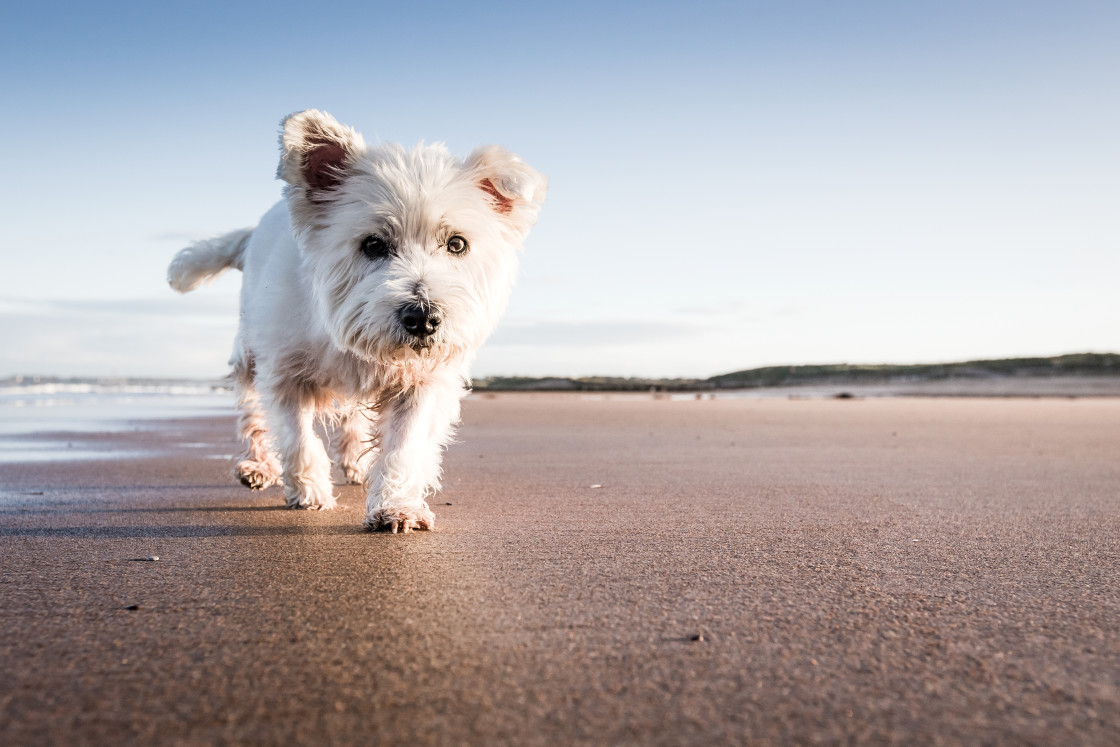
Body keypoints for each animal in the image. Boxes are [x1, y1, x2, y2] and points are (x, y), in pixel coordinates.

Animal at [165, 109, 546, 530]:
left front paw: (396, 506)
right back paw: (259, 466)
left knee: (351, 420)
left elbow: (404, 446)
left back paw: (355, 464)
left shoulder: (422, 383)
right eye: (373, 244)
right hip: (249, 351)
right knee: (253, 411)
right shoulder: (284, 373)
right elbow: (297, 438)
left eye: (457, 244)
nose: (423, 318)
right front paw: (310, 493)